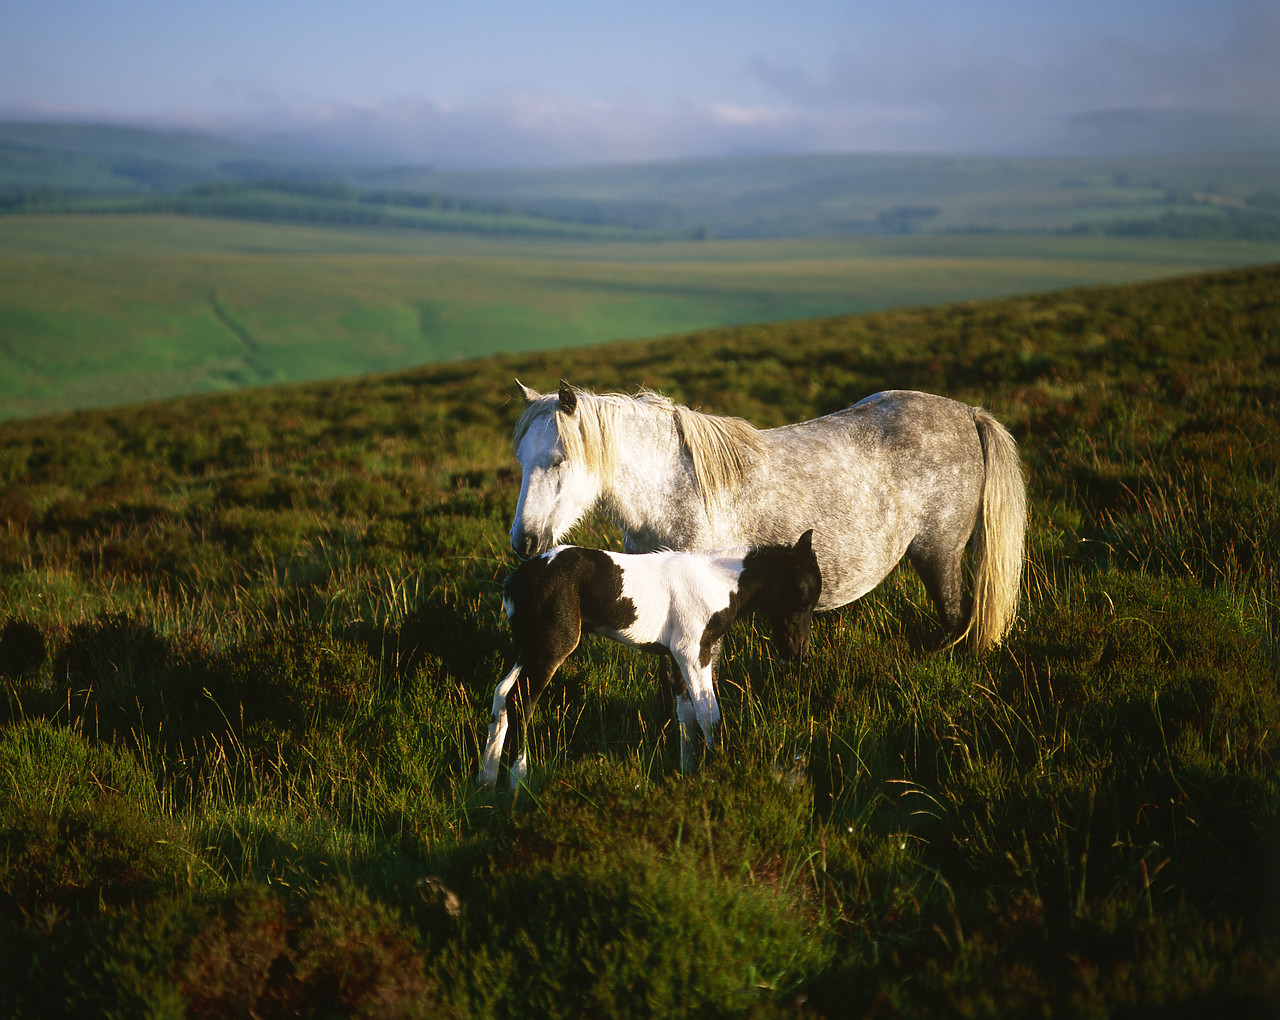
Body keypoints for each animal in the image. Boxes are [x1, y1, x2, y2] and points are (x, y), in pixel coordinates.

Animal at [481, 529, 819, 793]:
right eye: (803, 594)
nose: (798, 652)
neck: (718, 581)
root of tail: (517, 578)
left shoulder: (677, 657)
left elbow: (686, 714)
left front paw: (688, 773)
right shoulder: (692, 651)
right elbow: (708, 712)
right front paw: (717, 775)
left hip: (529, 647)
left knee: (501, 693)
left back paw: (486, 782)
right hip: (552, 647)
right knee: (522, 700)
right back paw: (517, 781)